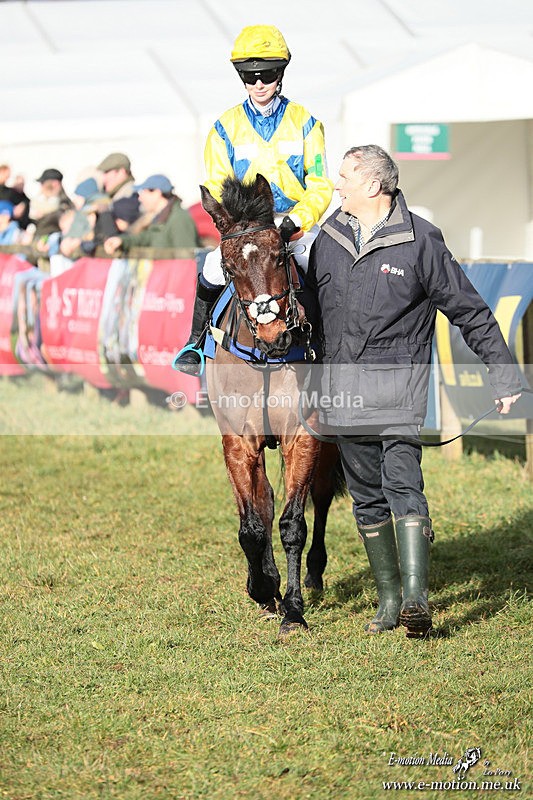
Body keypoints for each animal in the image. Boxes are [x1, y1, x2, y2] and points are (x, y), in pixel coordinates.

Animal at [200, 174, 344, 636]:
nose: (275, 334)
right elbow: (253, 524)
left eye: (280, 257)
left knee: (321, 497)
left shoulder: (303, 436)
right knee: (262, 502)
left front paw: (294, 610)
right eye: (229, 268)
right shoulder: (238, 441)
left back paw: (313, 574)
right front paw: (264, 589)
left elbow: (293, 523)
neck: (265, 360)